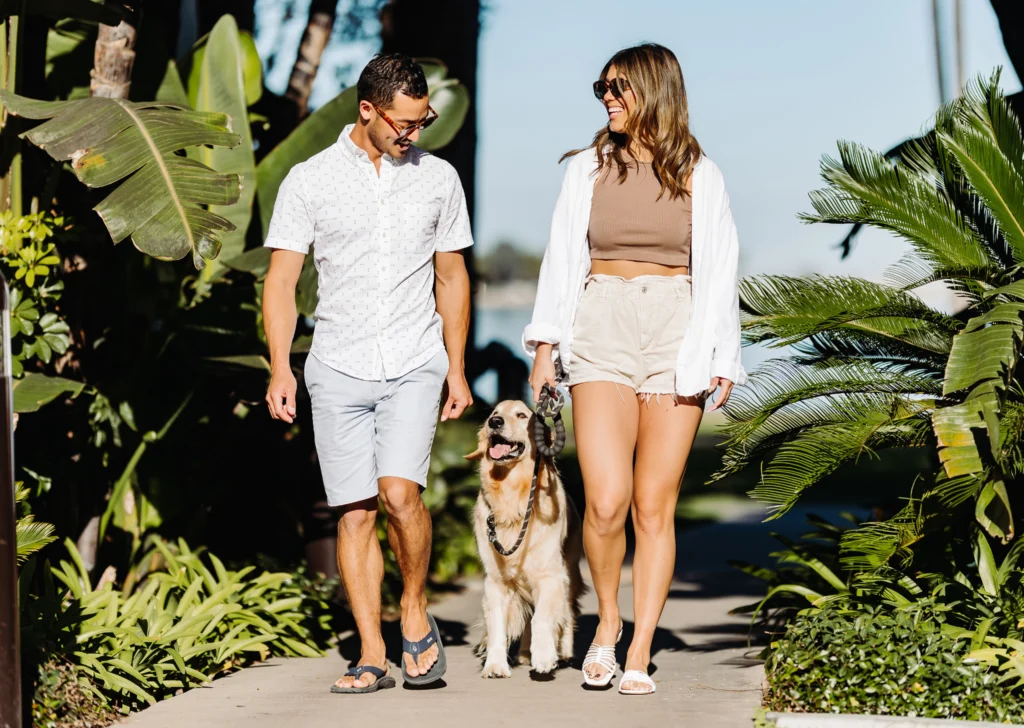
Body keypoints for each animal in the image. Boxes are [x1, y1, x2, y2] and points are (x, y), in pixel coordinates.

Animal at [464, 399, 585, 675]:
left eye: (521, 415)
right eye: (494, 413)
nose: (494, 423)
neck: (511, 499)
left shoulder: (550, 576)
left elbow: (543, 618)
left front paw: (544, 657)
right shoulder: (496, 581)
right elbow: (498, 626)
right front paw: (495, 665)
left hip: (570, 572)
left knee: (567, 611)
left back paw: (562, 652)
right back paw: (523, 654)